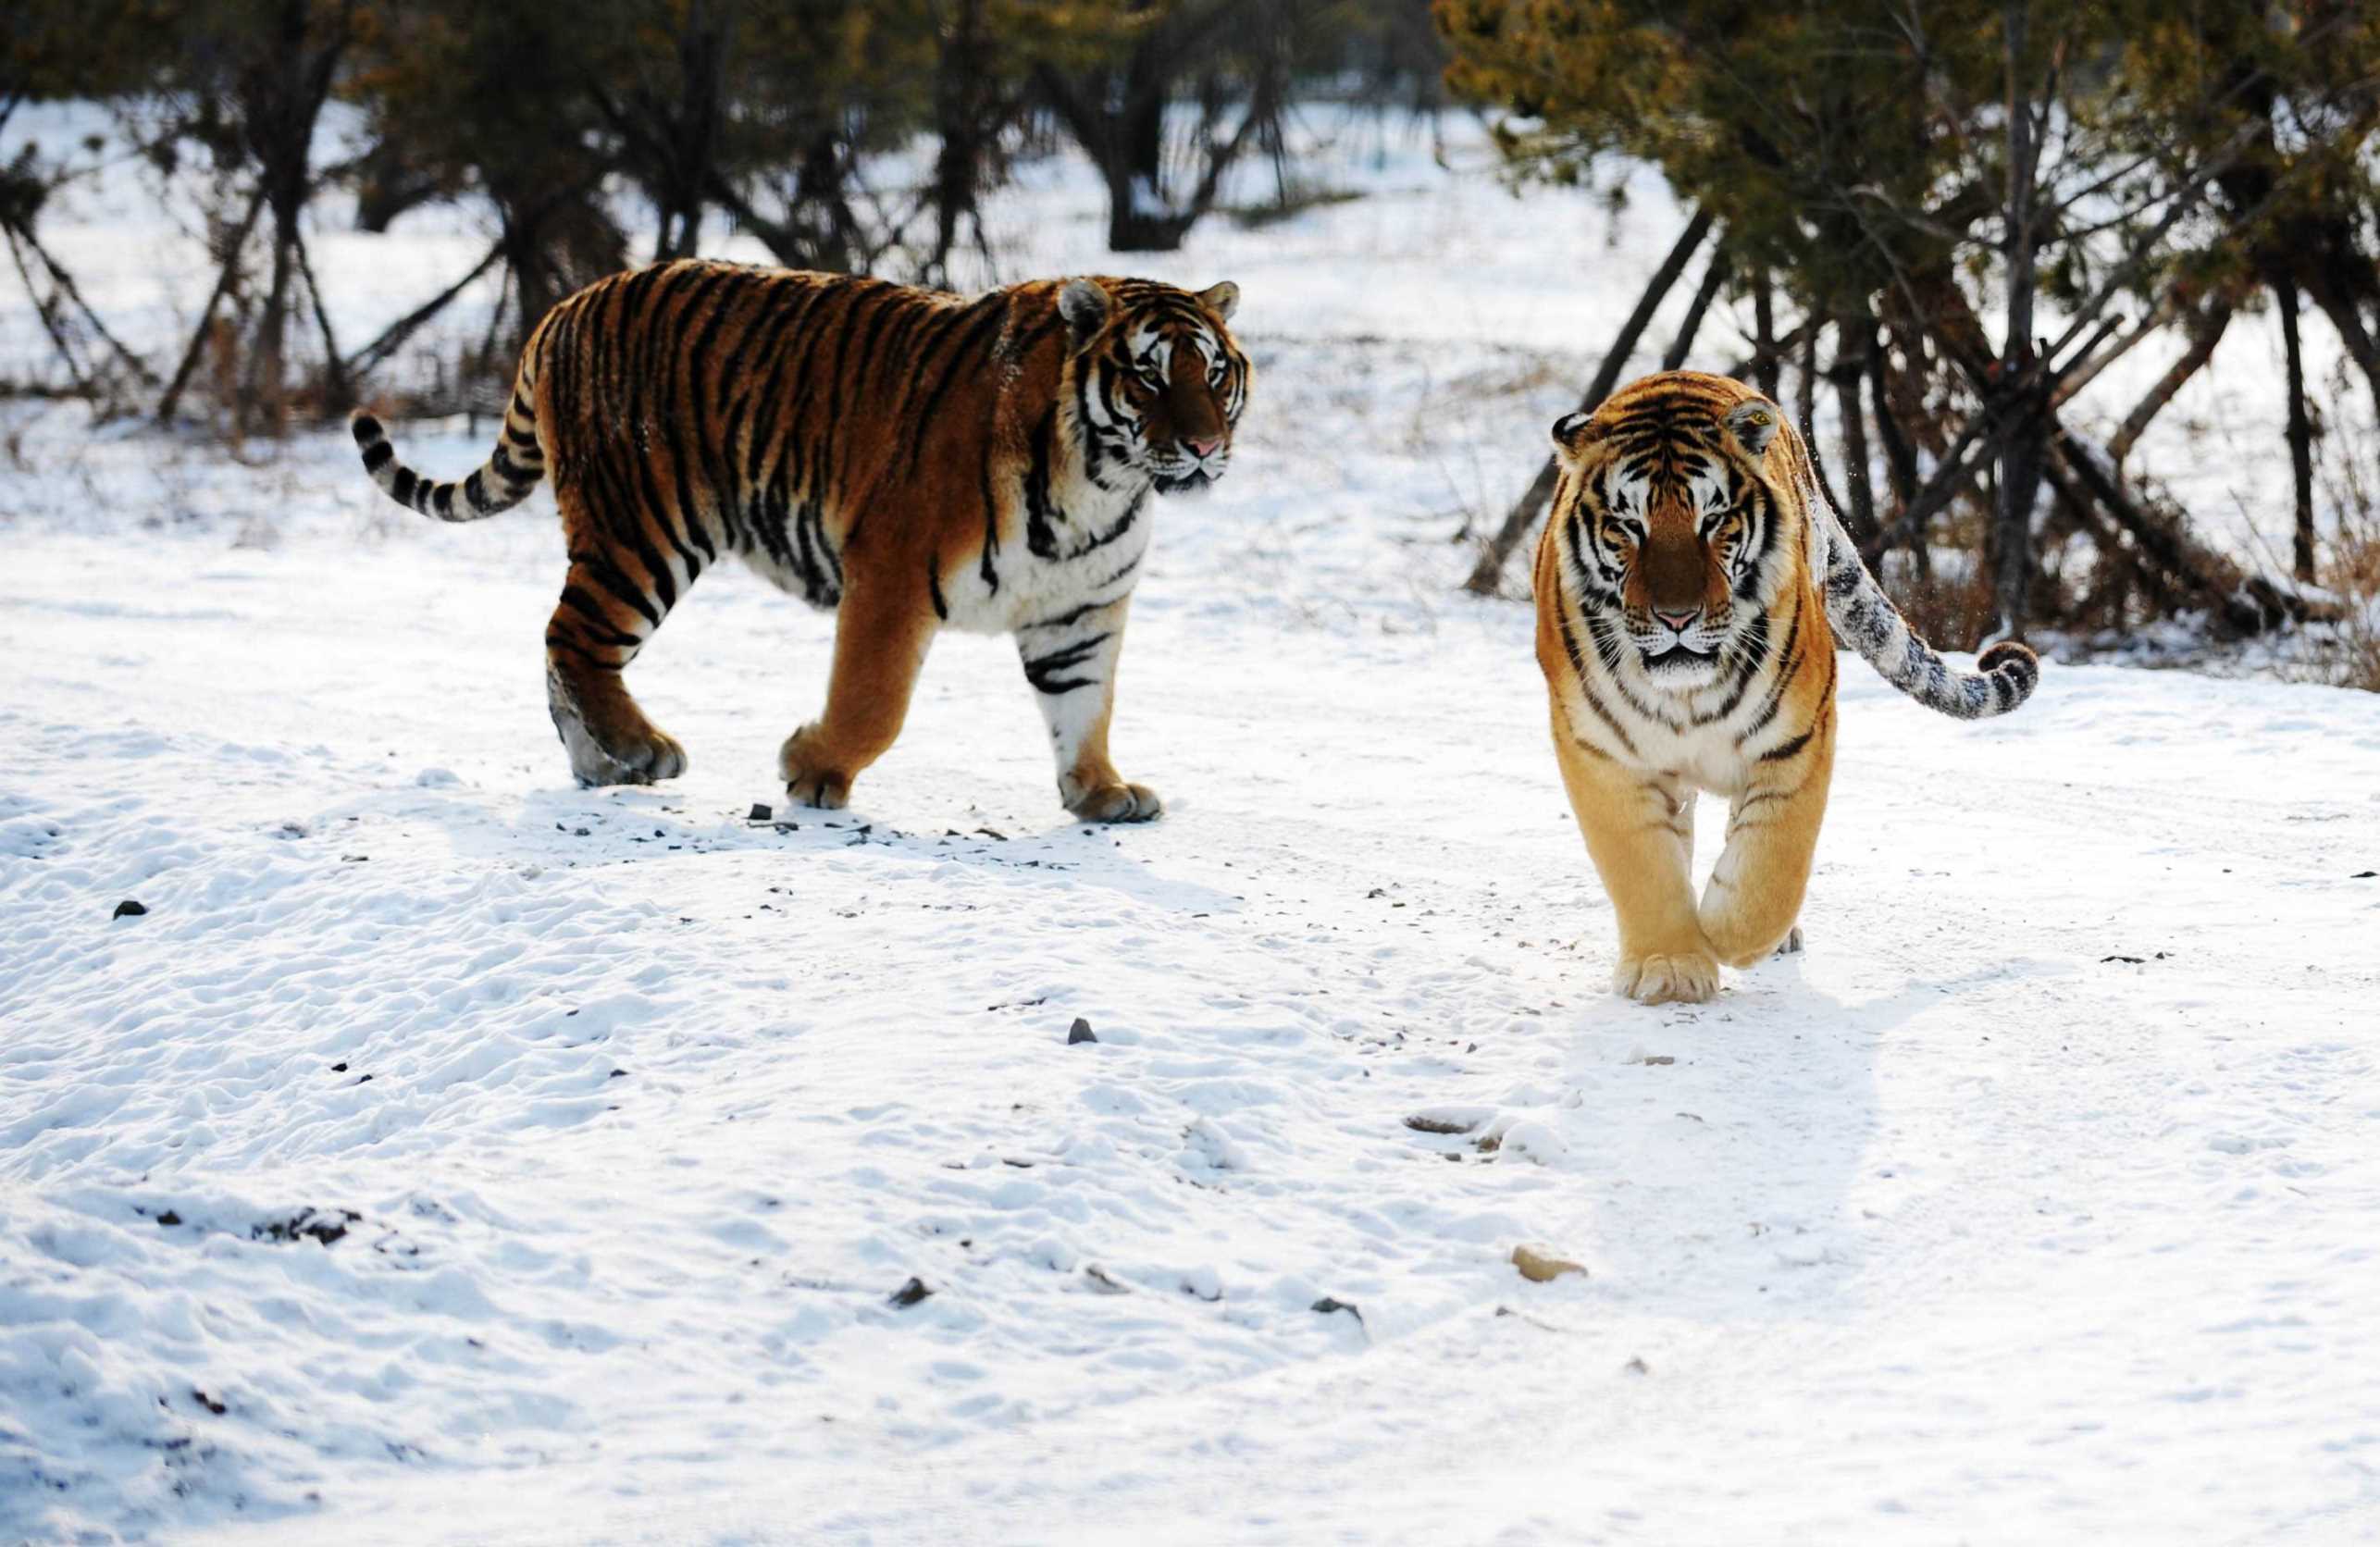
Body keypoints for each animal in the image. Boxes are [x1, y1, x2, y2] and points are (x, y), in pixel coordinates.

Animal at [349, 259, 1249, 822]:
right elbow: (873, 702)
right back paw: (641, 749)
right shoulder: (892, 572)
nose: (1206, 446)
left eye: (1214, 373)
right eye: (1149, 376)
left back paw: (603, 765)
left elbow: (1085, 707)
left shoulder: (1080, 611)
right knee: (570, 640)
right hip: (643, 532)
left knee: (560, 653)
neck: (1102, 484)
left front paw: (1099, 793)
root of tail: (566, 307)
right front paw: (811, 771)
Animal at [1532, 370, 2039, 1006]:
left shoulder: (1798, 735)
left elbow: (1772, 867)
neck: (1686, 694)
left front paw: (1725, 935)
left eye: (1713, 522)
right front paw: (1671, 966)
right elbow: (1642, 865)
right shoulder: (1599, 752)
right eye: (1629, 527)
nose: (1677, 618)